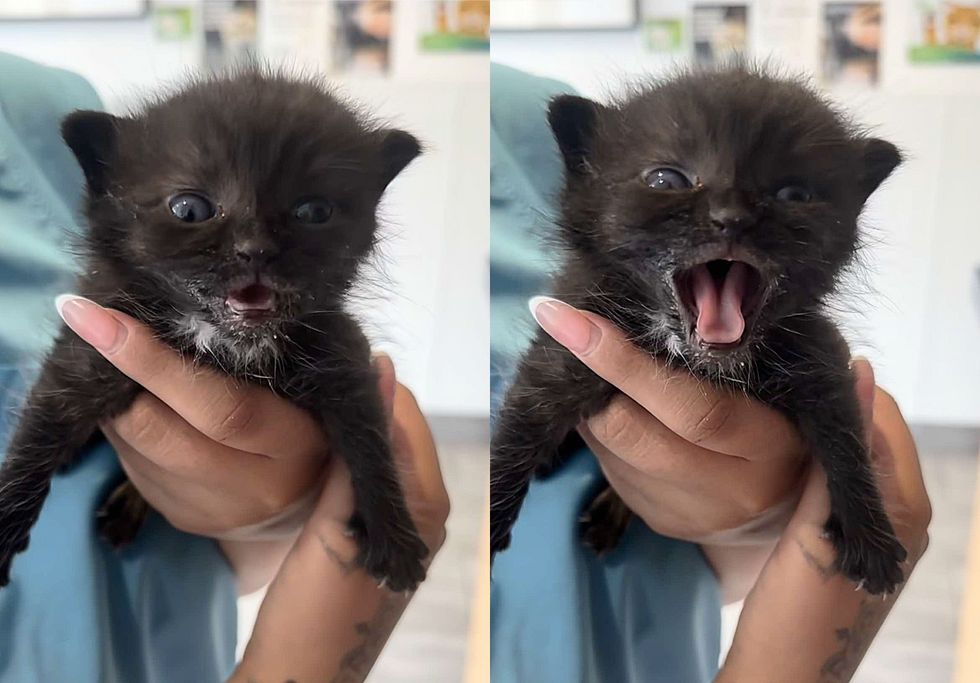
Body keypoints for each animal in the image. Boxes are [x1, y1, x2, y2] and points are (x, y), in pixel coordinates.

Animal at [0, 68, 428, 592]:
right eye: (189, 209)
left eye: (314, 212)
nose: (255, 249)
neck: (222, 341)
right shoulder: (88, 349)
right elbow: (37, 433)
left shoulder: (344, 361)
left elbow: (371, 444)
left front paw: (393, 534)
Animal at [494, 67, 908, 596]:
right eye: (666, 179)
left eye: (794, 195)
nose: (731, 217)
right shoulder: (565, 346)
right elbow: (517, 431)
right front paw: (490, 517)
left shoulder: (820, 360)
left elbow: (847, 440)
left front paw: (868, 534)